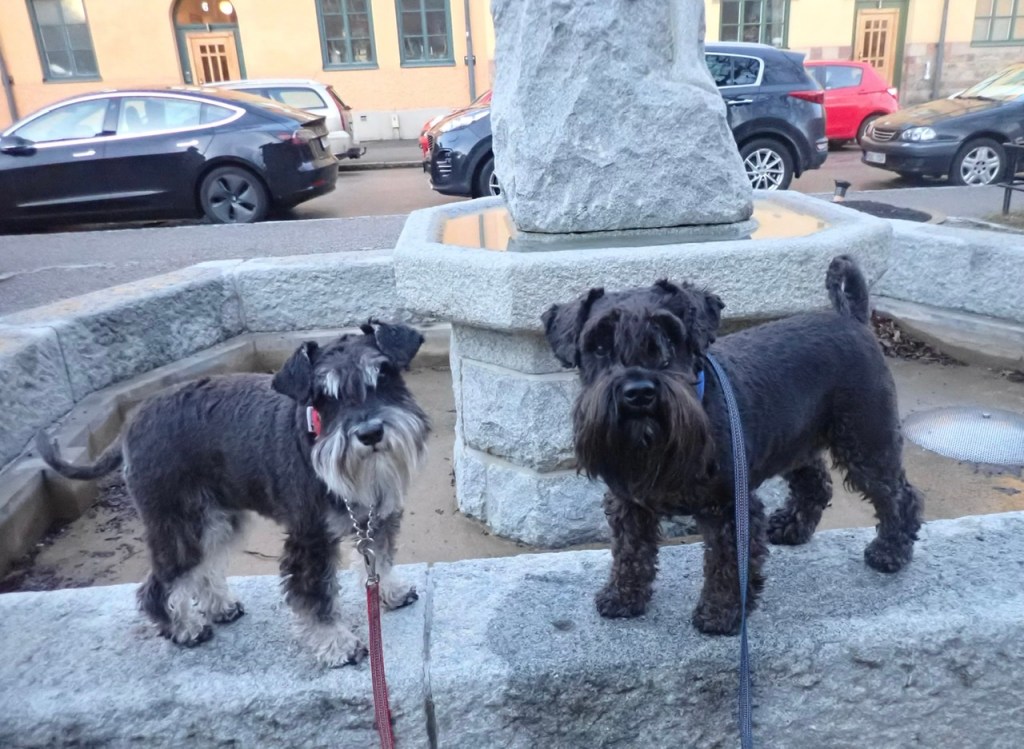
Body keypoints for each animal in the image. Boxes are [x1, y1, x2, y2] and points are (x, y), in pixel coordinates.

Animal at [37, 321, 431, 666]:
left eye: (382, 377)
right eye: (325, 397)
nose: (370, 433)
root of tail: (131, 425)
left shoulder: (377, 517)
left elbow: (380, 558)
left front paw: (391, 591)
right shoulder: (310, 540)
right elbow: (315, 596)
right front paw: (337, 645)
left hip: (216, 517)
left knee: (205, 565)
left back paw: (219, 606)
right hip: (177, 524)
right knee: (160, 582)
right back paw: (183, 628)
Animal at [542, 255, 922, 634]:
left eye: (669, 339)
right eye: (599, 346)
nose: (638, 393)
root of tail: (853, 320)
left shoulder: (729, 507)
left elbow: (729, 563)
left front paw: (721, 614)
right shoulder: (628, 501)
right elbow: (630, 550)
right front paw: (623, 597)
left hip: (866, 441)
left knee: (898, 494)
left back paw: (890, 552)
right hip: (797, 441)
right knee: (816, 483)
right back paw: (791, 528)